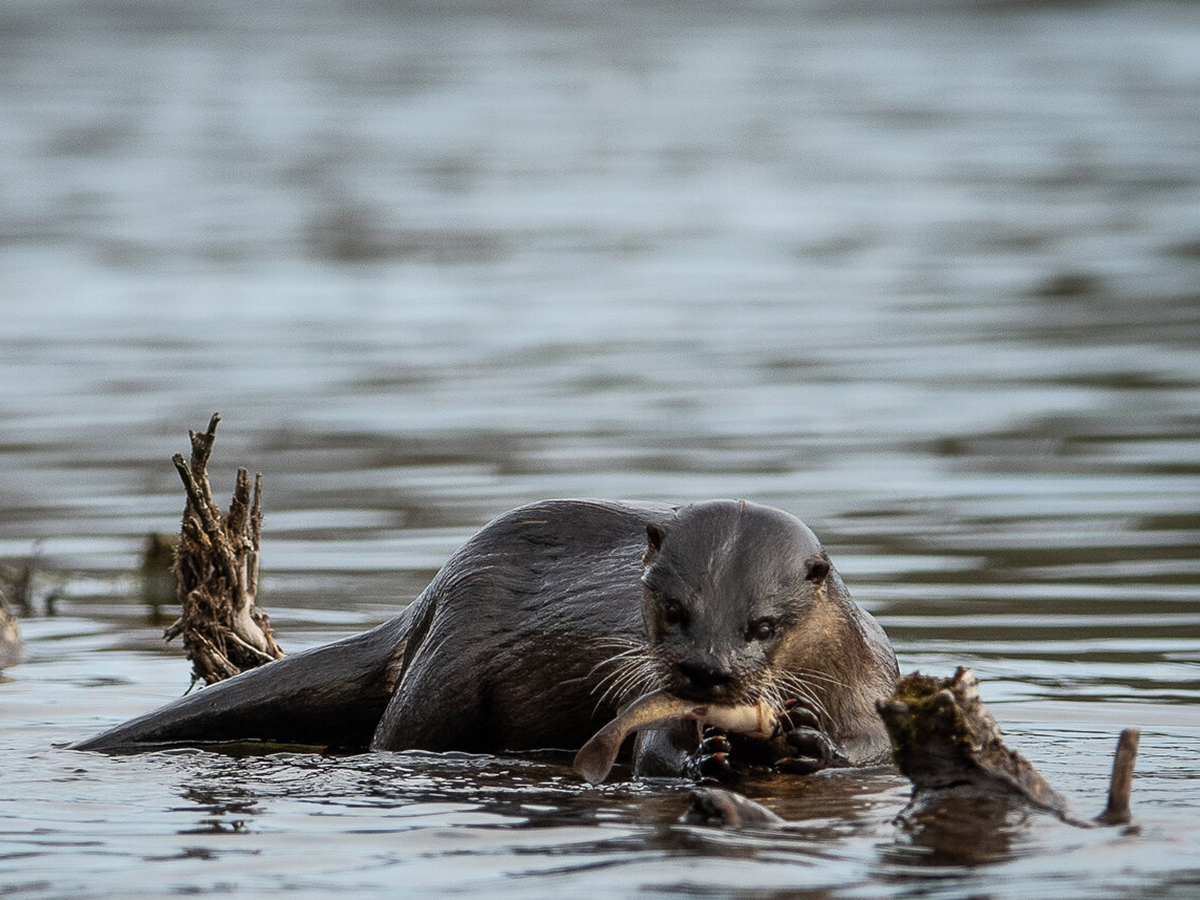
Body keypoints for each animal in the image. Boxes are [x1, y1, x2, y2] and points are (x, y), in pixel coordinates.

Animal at [72, 496, 902, 777]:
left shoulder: (872, 677)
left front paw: (813, 744)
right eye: (673, 610)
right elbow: (649, 750)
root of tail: (431, 596)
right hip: (442, 673)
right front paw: (704, 753)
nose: (705, 670)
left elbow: (874, 745)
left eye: (762, 626)